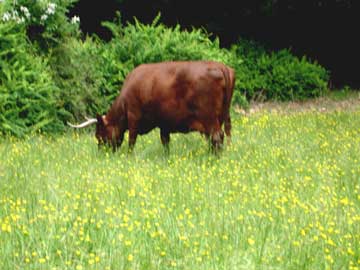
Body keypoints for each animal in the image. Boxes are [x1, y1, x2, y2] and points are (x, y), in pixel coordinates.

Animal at [67, 61, 236, 153]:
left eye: (99, 135)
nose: (103, 154)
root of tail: (221, 67)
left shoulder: (133, 116)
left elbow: (131, 140)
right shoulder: (164, 123)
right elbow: (165, 142)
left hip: (209, 118)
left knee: (217, 137)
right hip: (222, 116)